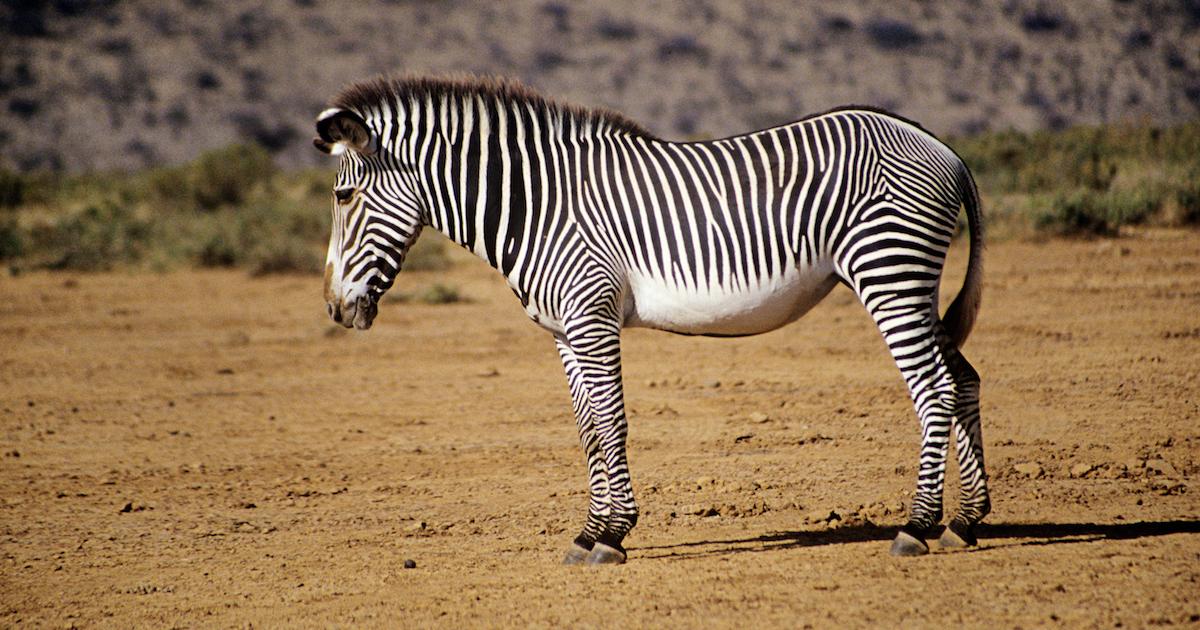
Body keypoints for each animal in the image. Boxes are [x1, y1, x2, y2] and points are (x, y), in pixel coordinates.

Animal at [314, 75, 988, 564]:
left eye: (343, 197)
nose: (335, 309)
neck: (538, 206)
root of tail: (942, 146)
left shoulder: (592, 315)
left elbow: (612, 425)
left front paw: (613, 537)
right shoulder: (565, 332)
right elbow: (588, 430)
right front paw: (589, 532)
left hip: (889, 271)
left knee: (934, 388)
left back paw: (917, 527)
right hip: (910, 281)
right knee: (964, 380)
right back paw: (965, 522)